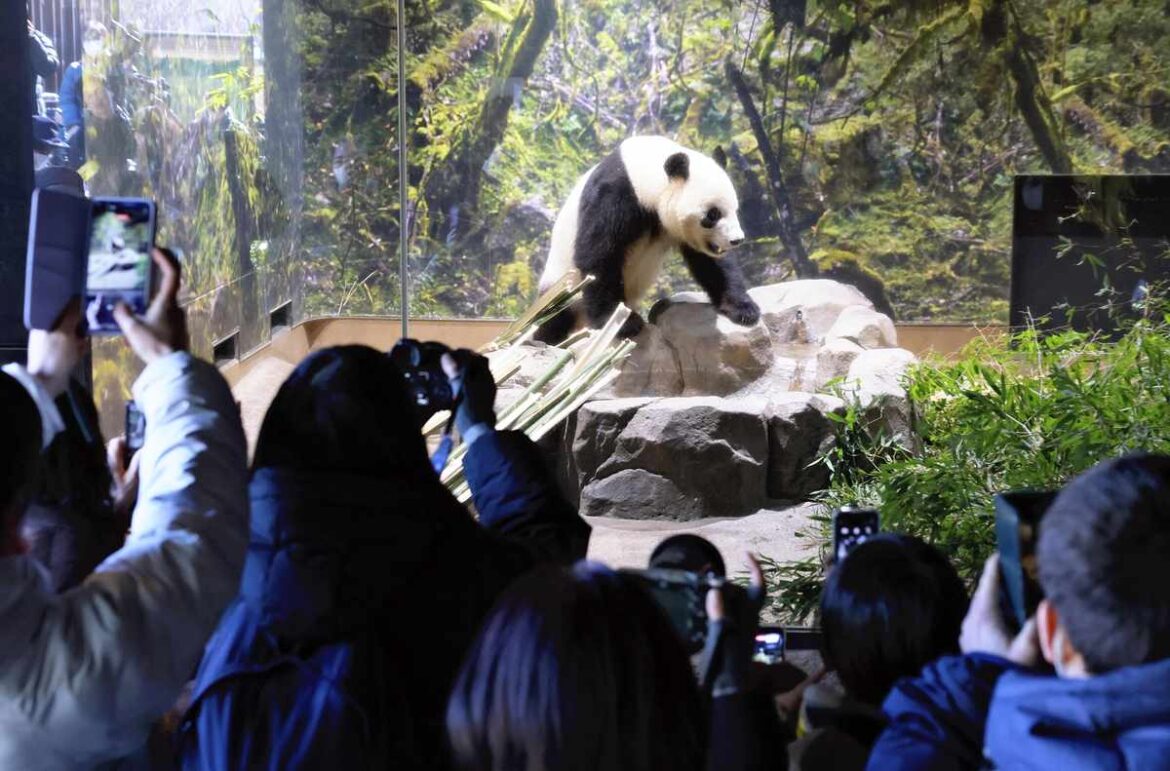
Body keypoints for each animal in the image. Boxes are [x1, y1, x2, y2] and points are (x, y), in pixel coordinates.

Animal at [534, 135, 761, 344]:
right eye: (712, 215)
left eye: (734, 209)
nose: (736, 240)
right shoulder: (614, 195)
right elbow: (598, 256)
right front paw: (622, 324)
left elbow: (711, 263)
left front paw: (743, 309)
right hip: (561, 286)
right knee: (556, 314)